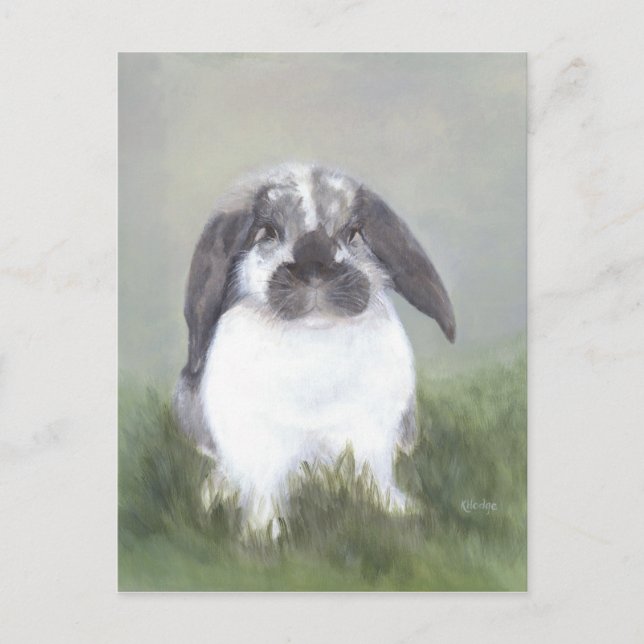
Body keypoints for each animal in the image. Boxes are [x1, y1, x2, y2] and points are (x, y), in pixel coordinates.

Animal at [173, 163, 455, 534]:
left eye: (353, 232)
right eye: (268, 231)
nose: (315, 267)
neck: (314, 335)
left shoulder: (373, 432)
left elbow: (376, 475)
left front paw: (400, 510)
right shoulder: (258, 441)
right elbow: (263, 489)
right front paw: (262, 533)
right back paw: (216, 492)